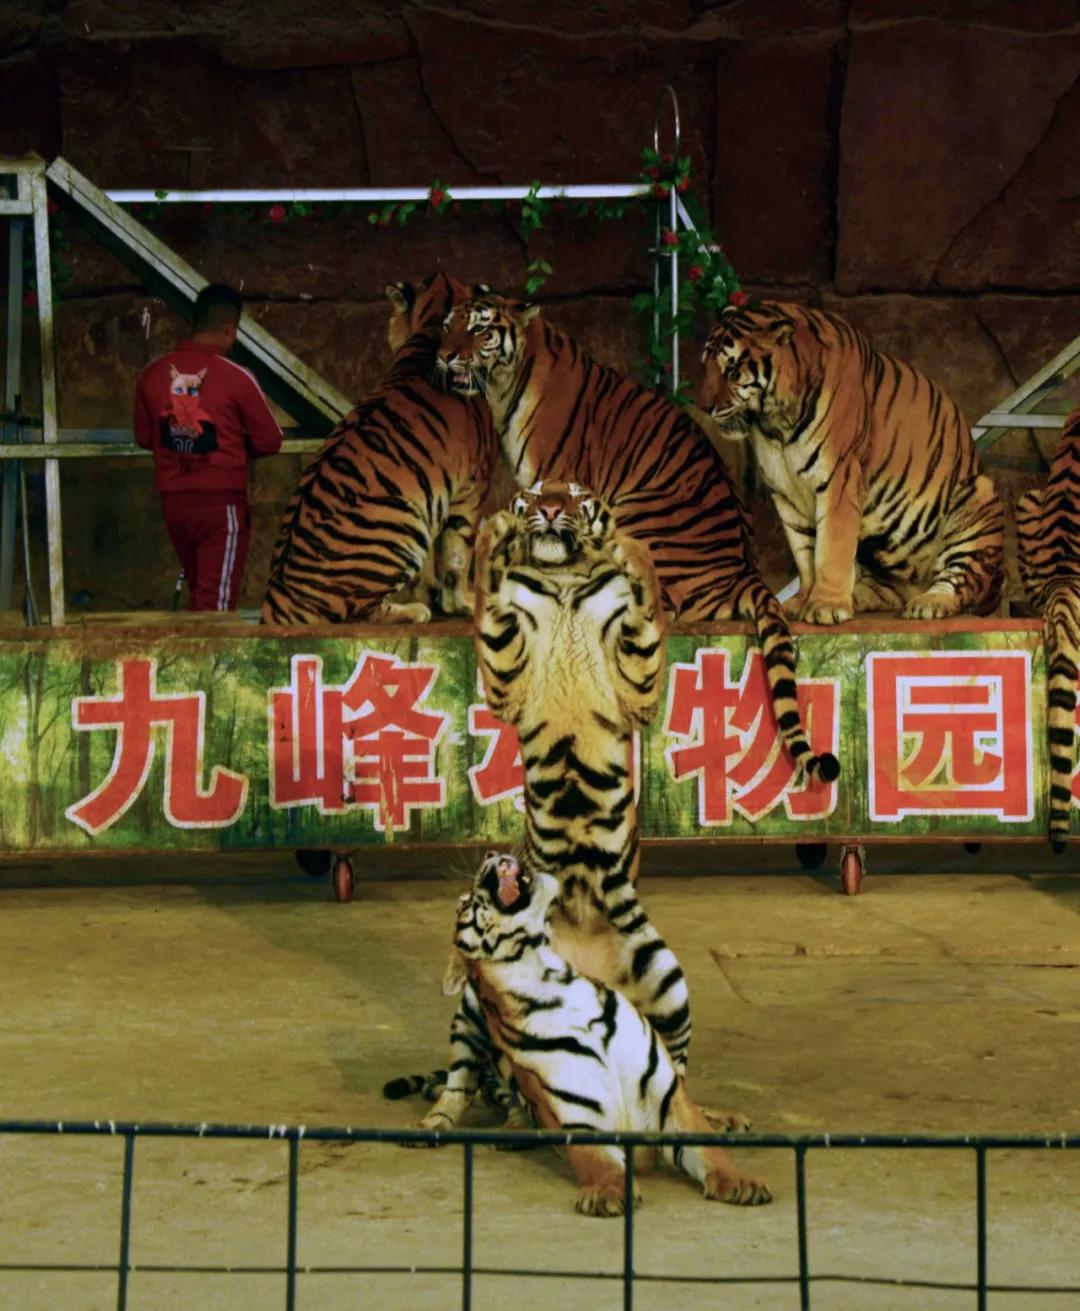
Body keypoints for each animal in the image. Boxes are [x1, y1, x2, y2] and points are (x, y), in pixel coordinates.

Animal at [262, 271, 498, 624]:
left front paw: (431, 593)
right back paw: (413, 611)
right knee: (357, 612)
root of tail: (277, 598)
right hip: (402, 528)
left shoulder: (433, 493)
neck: (433, 325)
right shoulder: (473, 485)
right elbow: (458, 553)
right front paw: (464, 603)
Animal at [697, 298, 1006, 624]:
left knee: (960, 581)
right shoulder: (786, 491)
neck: (775, 421)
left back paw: (930, 603)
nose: (703, 407)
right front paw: (804, 601)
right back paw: (860, 597)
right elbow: (805, 550)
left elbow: (831, 547)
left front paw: (826, 605)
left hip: (979, 496)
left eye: (732, 370)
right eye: (706, 365)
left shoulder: (837, 477)